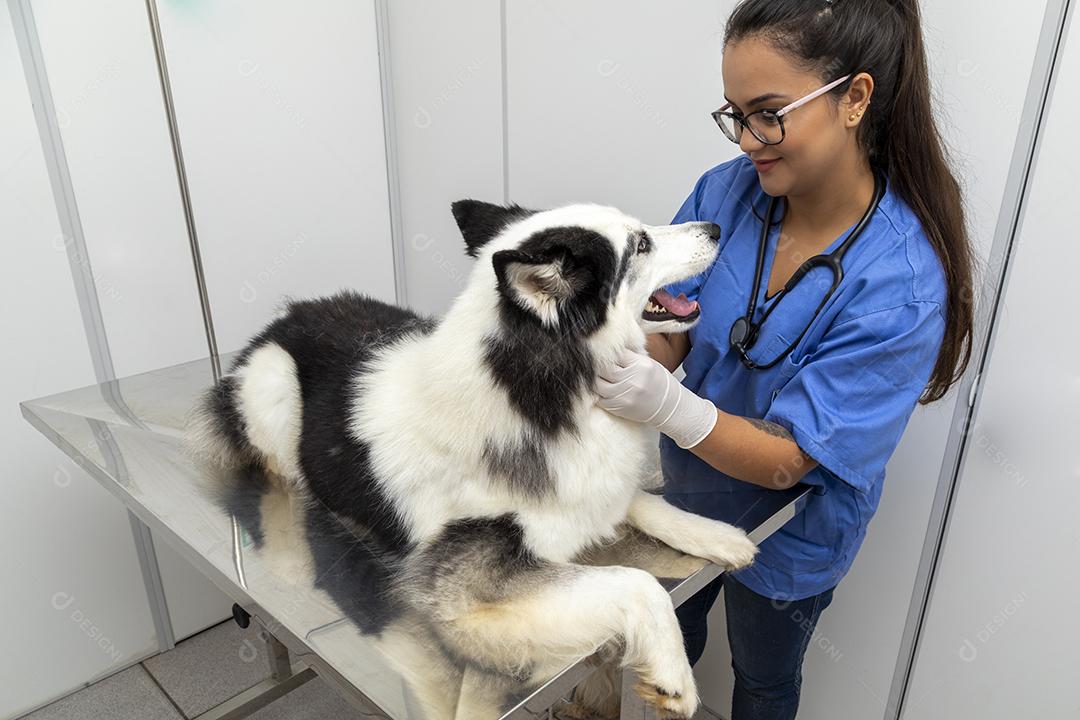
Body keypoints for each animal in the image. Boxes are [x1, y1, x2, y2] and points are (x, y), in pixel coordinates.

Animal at [187, 198, 760, 720]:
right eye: (640, 244)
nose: (715, 227)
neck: (539, 392)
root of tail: (285, 318)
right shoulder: (461, 589)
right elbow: (635, 580)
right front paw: (671, 670)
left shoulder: (592, 487)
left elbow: (646, 504)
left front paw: (718, 535)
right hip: (274, 391)